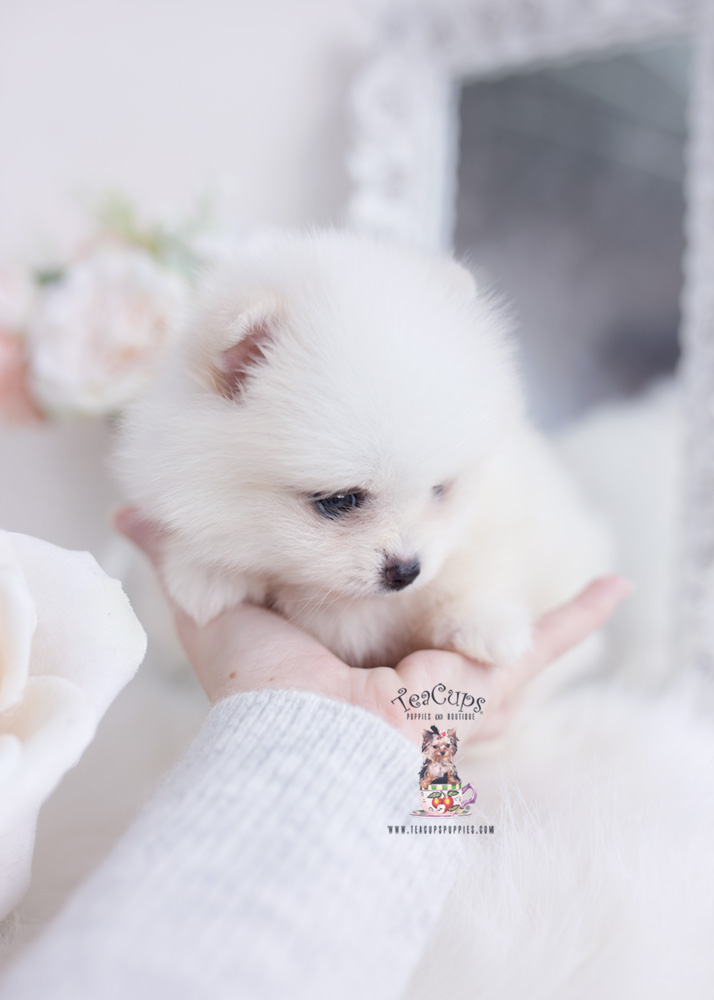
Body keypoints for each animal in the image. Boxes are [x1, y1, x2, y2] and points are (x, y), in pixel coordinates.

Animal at [115, 232, 608, 672]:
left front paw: (484, 624)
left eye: (440, 490)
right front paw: (205, 576)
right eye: (338, 501)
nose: (406, 571)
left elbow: (478, 569)